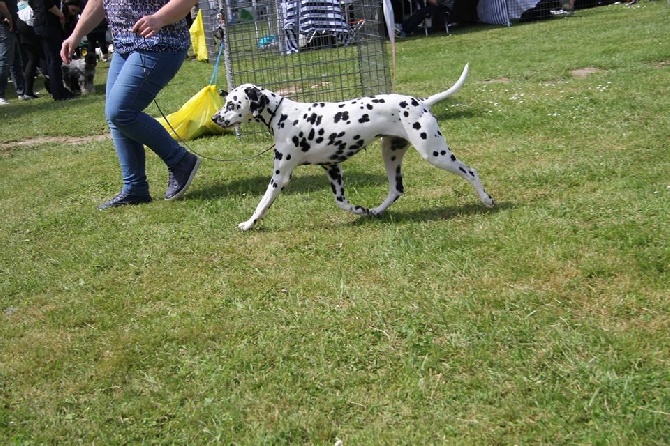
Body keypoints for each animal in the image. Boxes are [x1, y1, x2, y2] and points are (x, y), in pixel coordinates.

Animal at [213, 64, 496, 232]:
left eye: (232, 104)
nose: (215, 118)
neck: (283, 115)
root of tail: (421, 102)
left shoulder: (280, 177)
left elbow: (262, 203)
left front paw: (248, 224)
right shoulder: (333, 168)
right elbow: (342, 203)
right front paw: (360, 210)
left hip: (435, 153)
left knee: (471, 172)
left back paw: (487, 200)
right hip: (391, 154)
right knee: (396, 189)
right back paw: (376, 211)